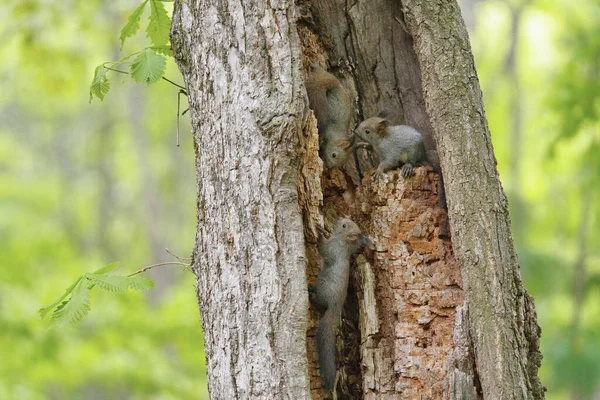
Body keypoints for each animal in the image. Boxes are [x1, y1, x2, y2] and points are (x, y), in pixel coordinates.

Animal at [310, 219, 376, 390]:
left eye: (344, 226)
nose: (340, 220)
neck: (344, 243)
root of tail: (336, 305)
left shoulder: (333, 250)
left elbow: (324, 250)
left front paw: (319, 233)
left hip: (323, 287)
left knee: (319, 301)